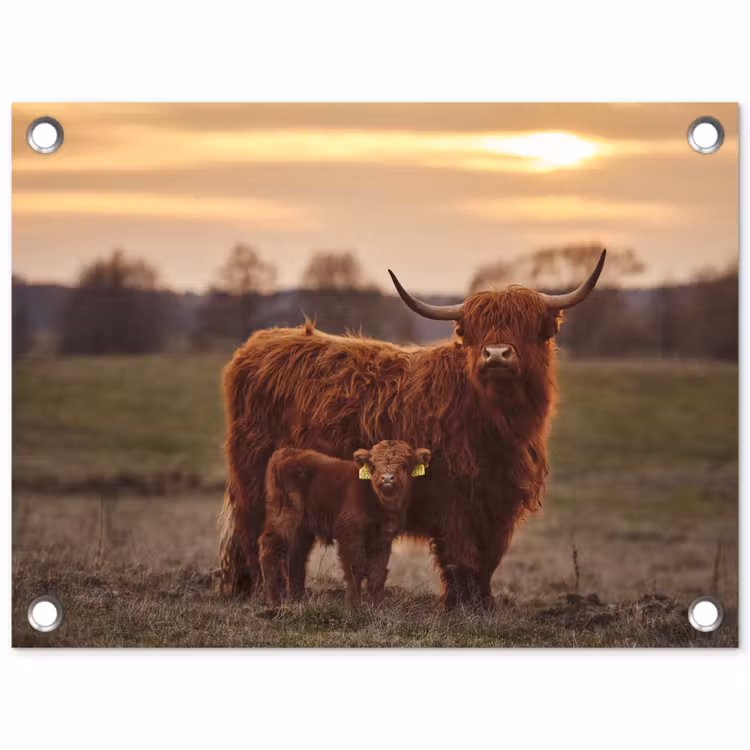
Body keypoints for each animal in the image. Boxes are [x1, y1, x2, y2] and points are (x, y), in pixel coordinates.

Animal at [259, 440, 431, 608]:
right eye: (374, 465)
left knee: (297, 556)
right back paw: (273, 602)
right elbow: (356, 569)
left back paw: (298, 599)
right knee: (270, 548)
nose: (387, 478)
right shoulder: (350, 532)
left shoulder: (383, 538)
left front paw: (378, 607)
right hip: (285, 518)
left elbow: (377, 572)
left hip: (301, 528)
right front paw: (353, 606)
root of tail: (286, 452)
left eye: (404, 465)